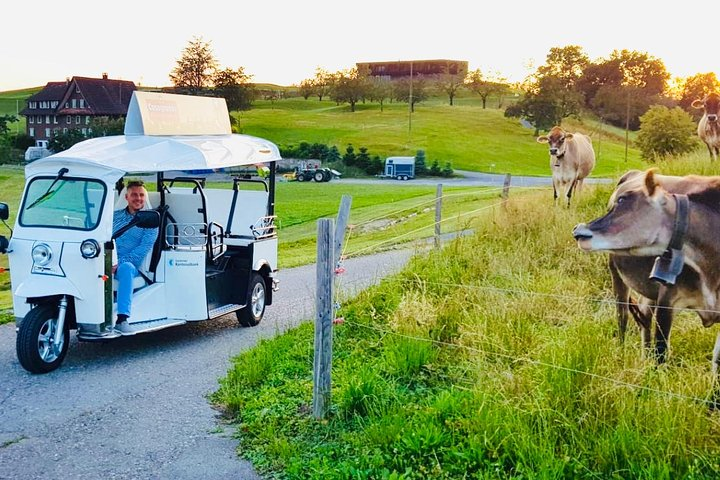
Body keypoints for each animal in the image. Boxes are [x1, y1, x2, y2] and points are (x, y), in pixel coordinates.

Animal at [572, 169, 720, 386]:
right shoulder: (667, 301)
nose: (578, 229)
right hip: (616, 273)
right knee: (622, 317)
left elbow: (717, 360)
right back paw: (622, 353)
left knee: (643, 316)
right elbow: (661, 354)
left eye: (623, 200)